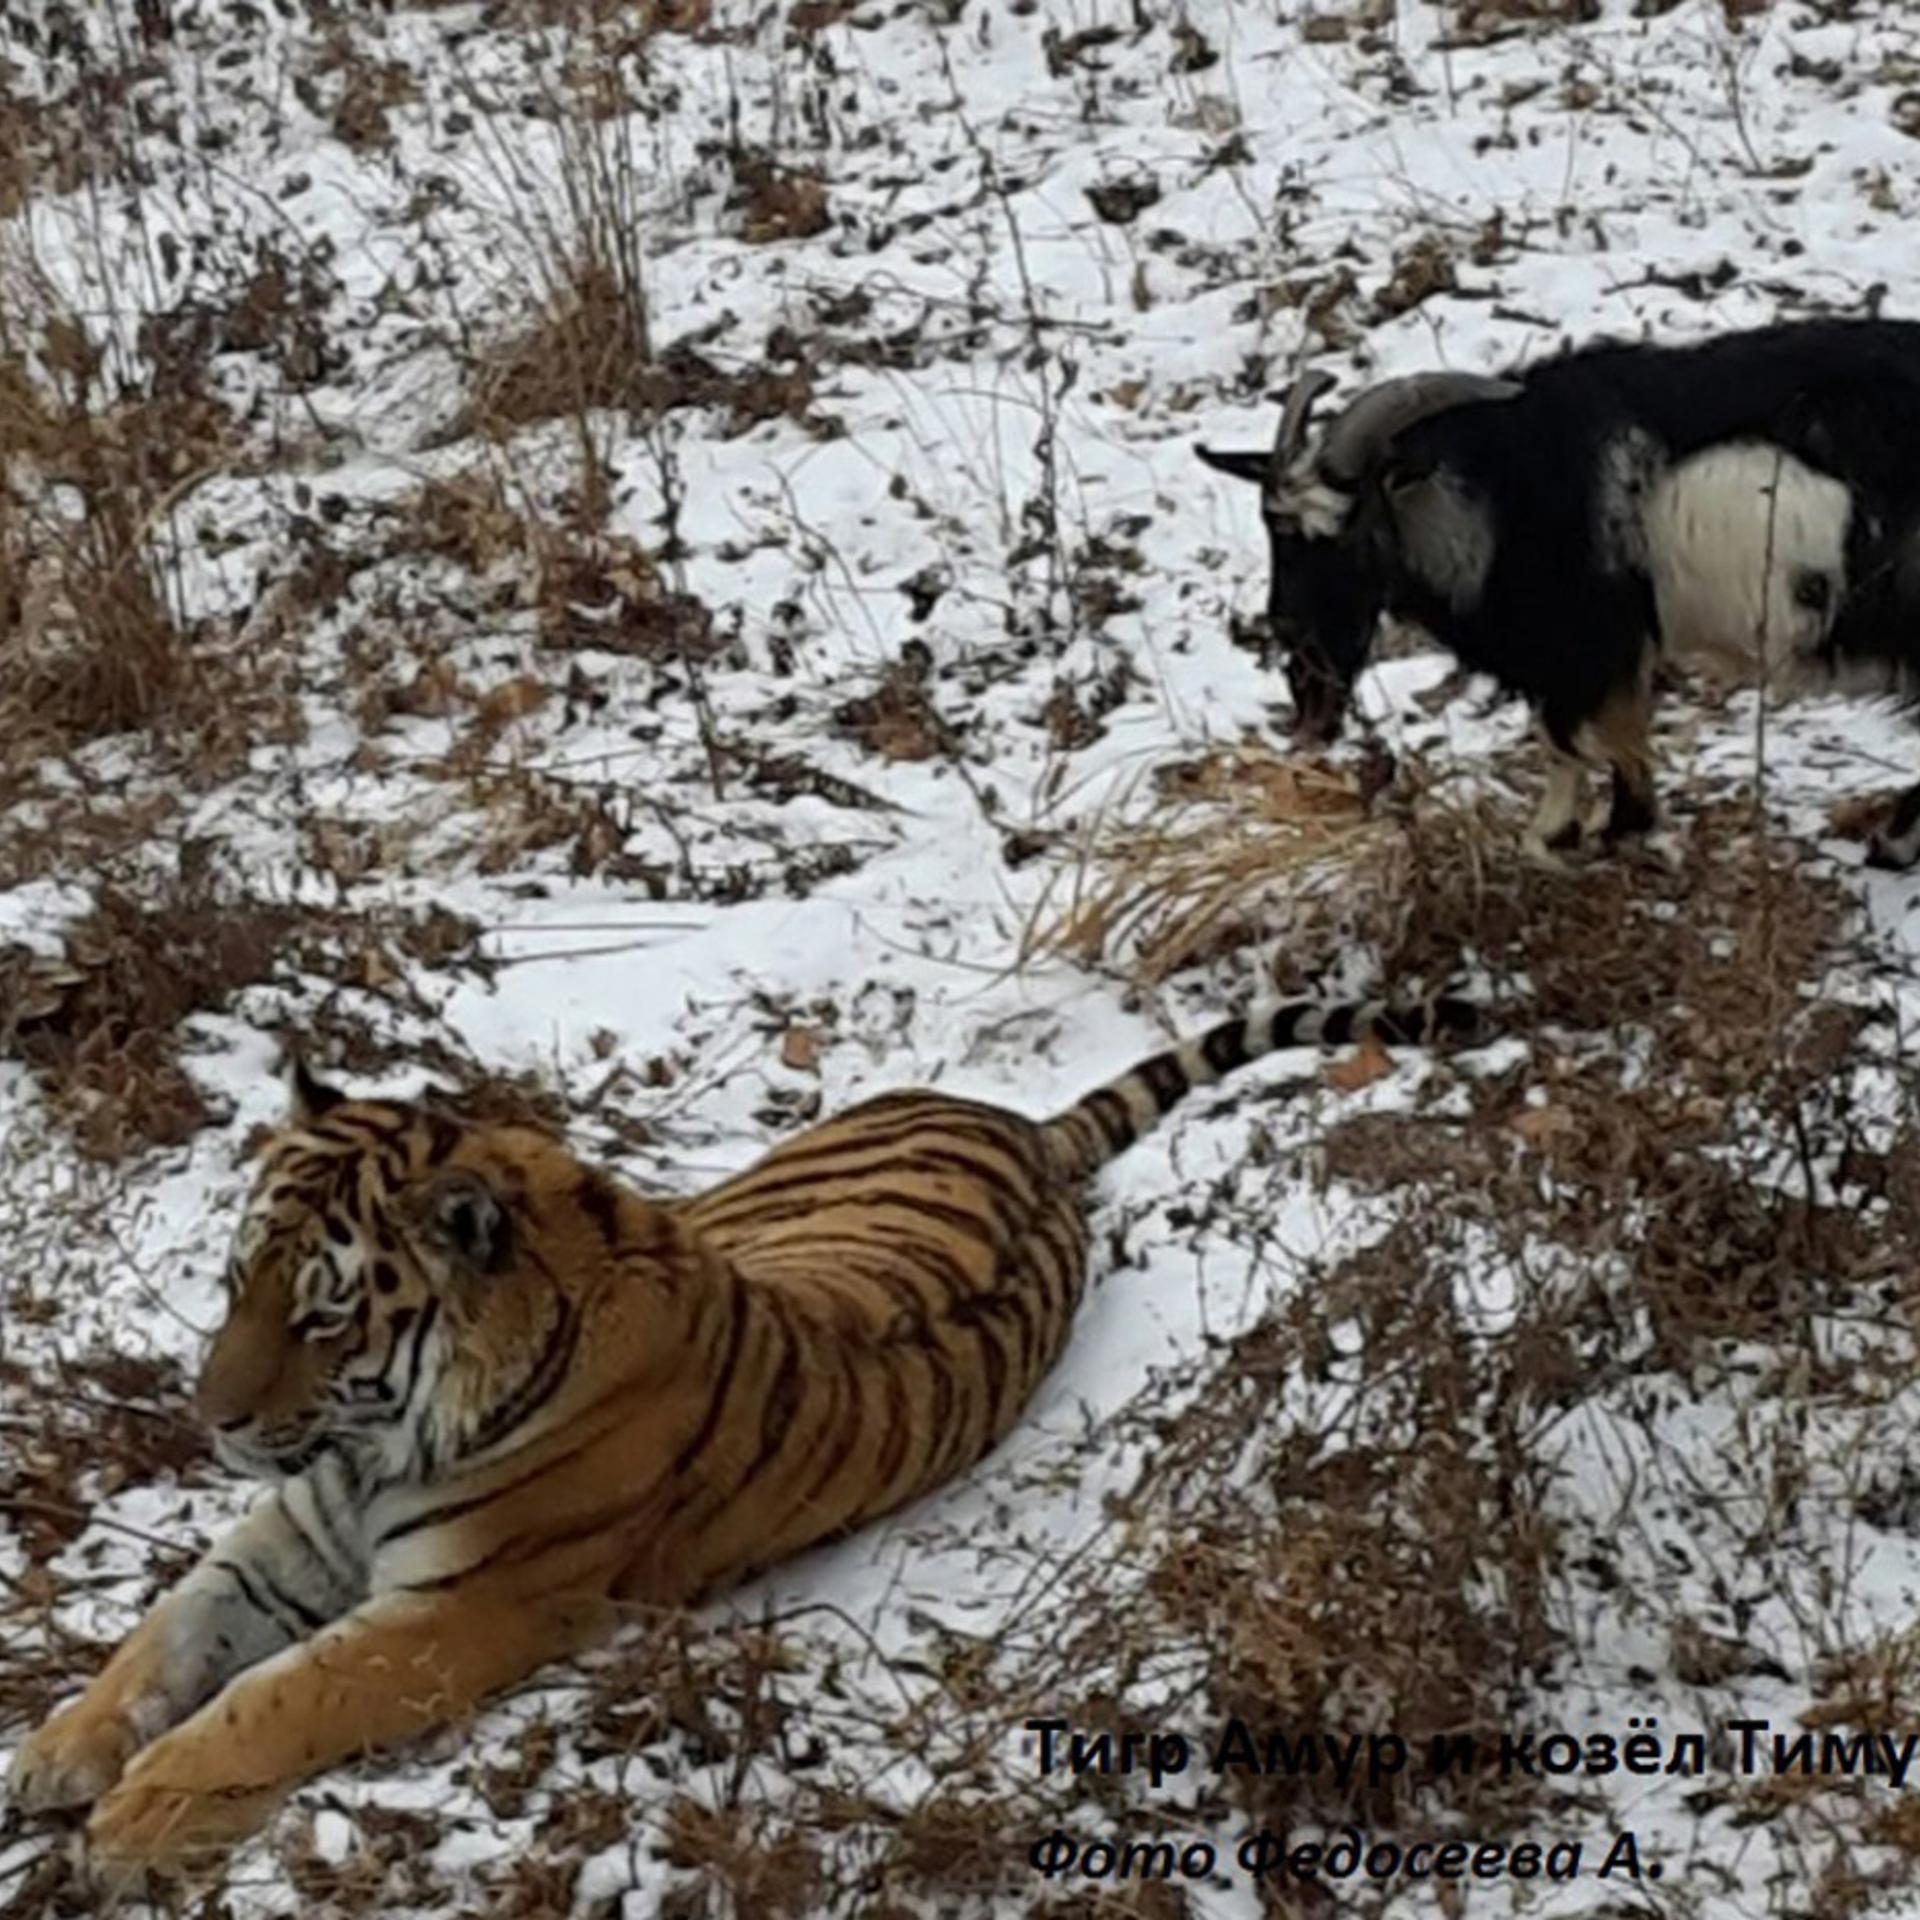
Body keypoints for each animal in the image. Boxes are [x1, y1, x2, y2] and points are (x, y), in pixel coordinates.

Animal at [6, 990, 1481, 1886]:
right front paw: (59, 1750)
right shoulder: (285, 1534)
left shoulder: (465, 1610)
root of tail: (1015, 1125)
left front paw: (136, 1815)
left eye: (321, 1313)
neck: (377, 1442)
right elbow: (166, 1637)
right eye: (234, 1284)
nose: (211, 1420)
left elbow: (276, 1697)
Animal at [1198, 319, 1920, 866]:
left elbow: (1575, 737)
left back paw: (1892, 844)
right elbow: (1577, 739)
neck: (1503, 491)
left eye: (1349, 532)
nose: (1297, 647)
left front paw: (1586, 832)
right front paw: (1583, 827)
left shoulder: (1589, 642)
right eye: (1274, 530)